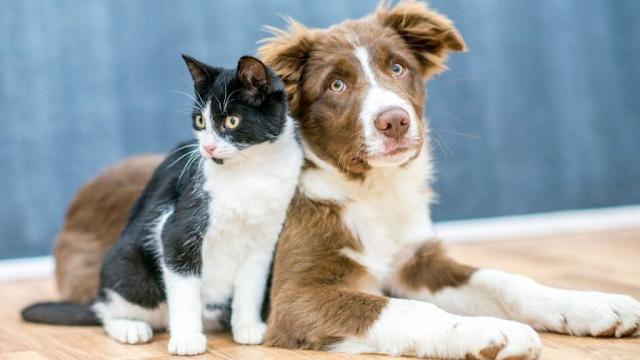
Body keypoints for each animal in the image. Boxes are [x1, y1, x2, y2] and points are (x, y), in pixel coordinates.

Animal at [23, 54, 304, 356]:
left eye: (231, 120)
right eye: (200, 120)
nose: (207, 148)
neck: (250, 172)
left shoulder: (264, 240)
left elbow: (252, 284)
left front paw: (248, 326)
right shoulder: (177, 230)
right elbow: (184, 288)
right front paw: (187, 338)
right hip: (129, 269)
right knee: (106, 310)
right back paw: (129, 327)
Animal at [55, 1, 640, 358]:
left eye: (398, 67)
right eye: (336, 85)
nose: (395, 121)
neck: (369, 191)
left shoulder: (416, 259)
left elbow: (504, 280)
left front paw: (592, 305)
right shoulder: (296, 296)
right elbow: (404, 310)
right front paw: (483, 331)